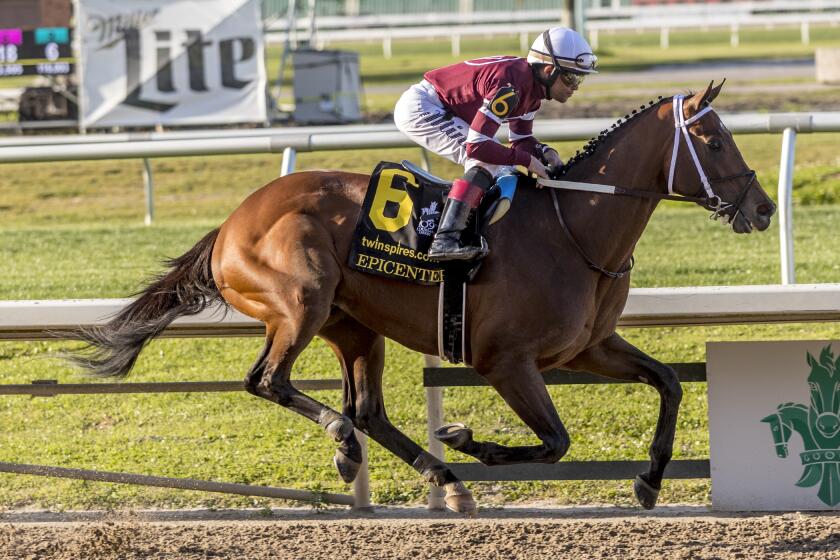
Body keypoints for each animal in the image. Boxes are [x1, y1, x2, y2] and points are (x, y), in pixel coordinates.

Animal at [67, 81, 776, 516]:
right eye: (714, 140)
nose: (763, 208)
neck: (574, 227)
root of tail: (232, 222)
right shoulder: (505, 361)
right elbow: (555, 441)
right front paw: (468, 439)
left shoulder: (586, 349)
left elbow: (668, 383)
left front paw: (650, 480)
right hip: (301, 303)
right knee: (269, 380)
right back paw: (355, 443)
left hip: (354, 326)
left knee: (368, 409)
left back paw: (435, 478)